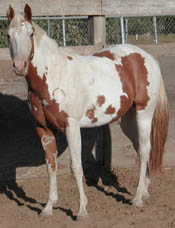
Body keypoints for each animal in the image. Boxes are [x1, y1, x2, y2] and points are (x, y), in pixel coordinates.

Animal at [7, 4, 170, 219]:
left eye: (30, 33)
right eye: (8, 35)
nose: (19, 66)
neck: (54, 76)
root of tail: (147, 57)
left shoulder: (72, 127)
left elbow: (76, 167)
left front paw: (82, 210)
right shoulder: (44, 130)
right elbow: (51, 167)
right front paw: (48, 207)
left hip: (144, 113)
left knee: (144, 151)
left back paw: (136, 199)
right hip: (128, 119)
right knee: (140, 148)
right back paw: (144, 191)